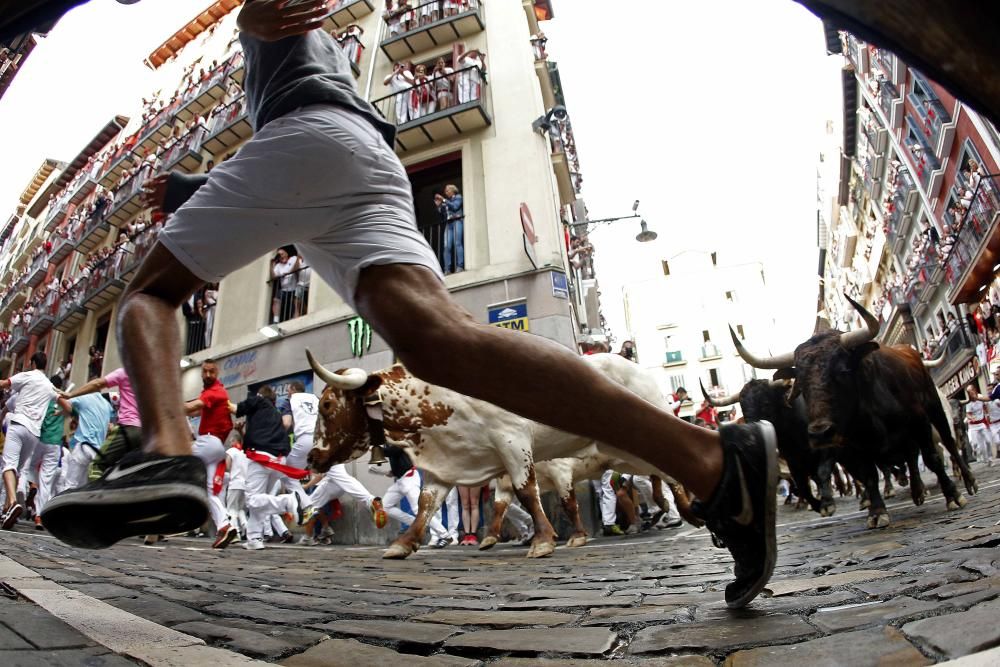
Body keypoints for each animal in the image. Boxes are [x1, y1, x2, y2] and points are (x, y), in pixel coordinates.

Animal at [304, 352, 680, 560]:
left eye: (327, 405)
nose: (311, 459)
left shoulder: (515, 443)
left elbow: (536, 496)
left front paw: (546, 540)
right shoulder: (450, 464)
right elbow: (430, 505)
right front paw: (404, 544)